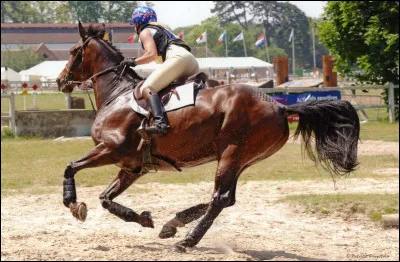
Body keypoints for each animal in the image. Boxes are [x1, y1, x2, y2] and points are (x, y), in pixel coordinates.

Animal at [55, 22, 360, 252]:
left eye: (73, 51)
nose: (60, 81)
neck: (117, 94)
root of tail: (280, 106)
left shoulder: (110, 149)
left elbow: (70, 167)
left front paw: (73, 204)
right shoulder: (133, 167)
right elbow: (106, 198)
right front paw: (142, 219)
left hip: (232, 153)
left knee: (220, 198)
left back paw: (186, 240)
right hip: (240, 159)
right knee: (227, 198)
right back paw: (173, 224)